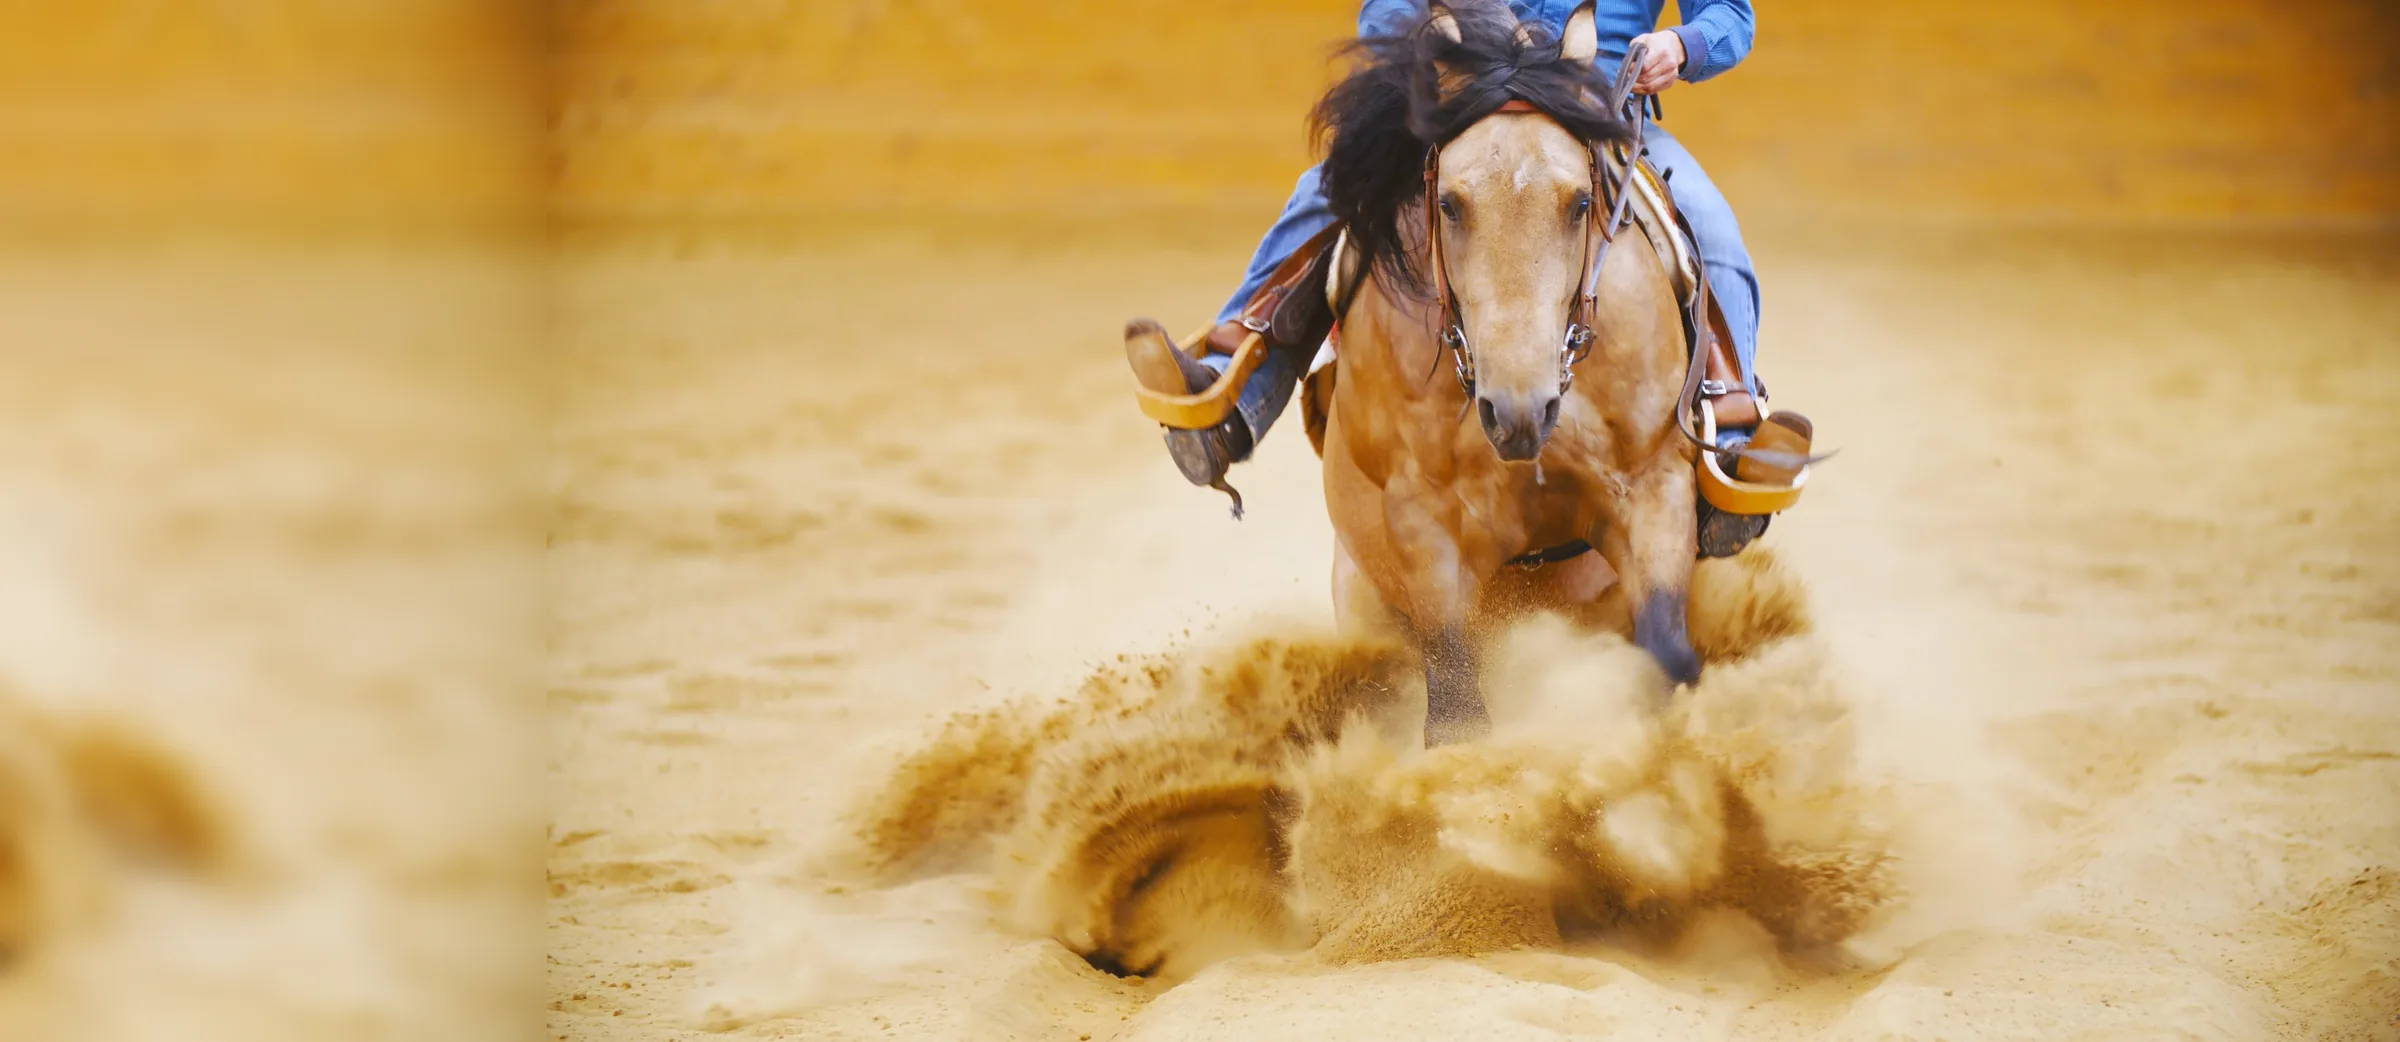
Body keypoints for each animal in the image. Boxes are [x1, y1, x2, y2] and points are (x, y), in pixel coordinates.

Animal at [1311, 0, 1708, 744]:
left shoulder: (1654, 482)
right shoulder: (1421, 521)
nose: (1519, 411)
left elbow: (1670, 654)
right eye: (1449, 203)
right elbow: (1457, 708)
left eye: (1579, 202)